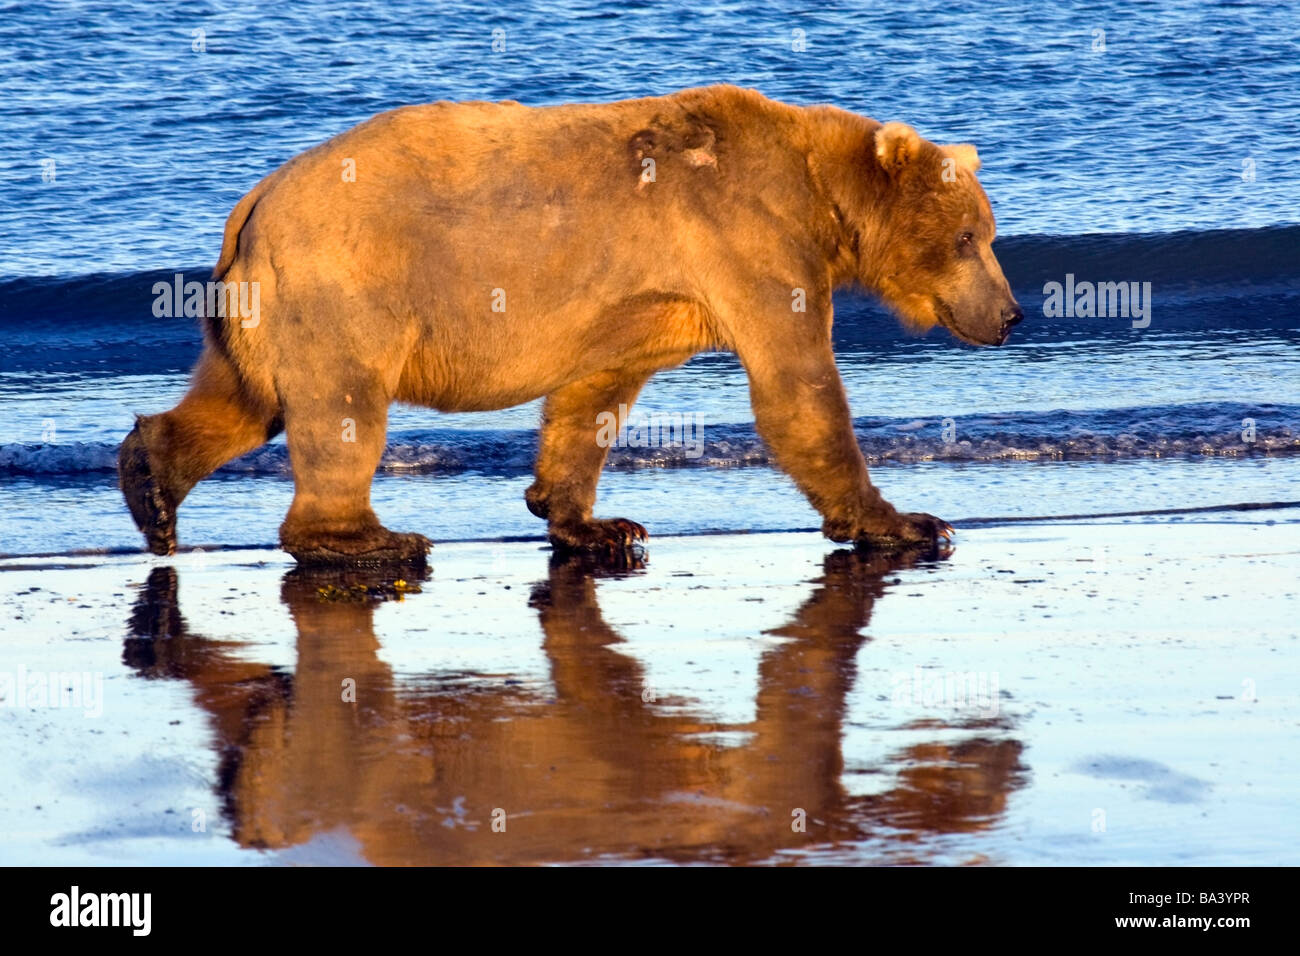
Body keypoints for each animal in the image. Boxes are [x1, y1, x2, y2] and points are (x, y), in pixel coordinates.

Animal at [119, 85, 1013, 564]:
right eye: (969, 237)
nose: (1008, 313)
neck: (824, 200)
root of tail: (253, 203)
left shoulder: (639, 298)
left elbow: (594, 395)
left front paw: (590, 520)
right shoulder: (748, 237)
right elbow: (798, 388)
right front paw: (909, 522)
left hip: (259, 309)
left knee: (243, 399)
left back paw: (150, 483)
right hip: (347, 286)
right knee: (341, 408)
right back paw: (370, 538)